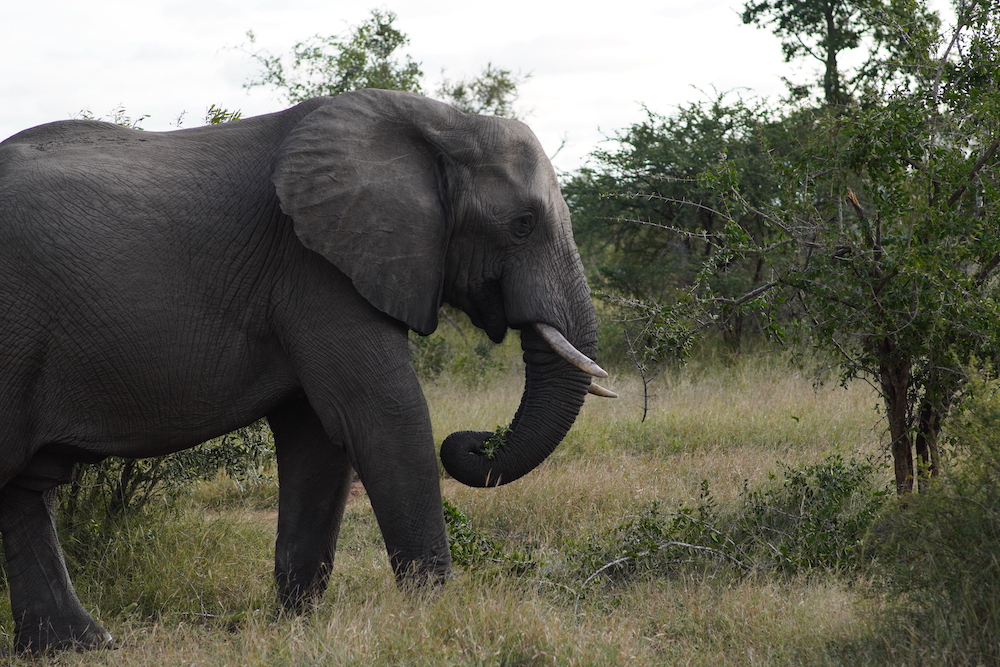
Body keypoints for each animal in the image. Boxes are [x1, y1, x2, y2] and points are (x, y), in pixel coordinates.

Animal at [0, 88, 612, 652]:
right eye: (523, 224)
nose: (477, 440)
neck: (442, 123)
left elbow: (318, 439)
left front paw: (293, 627)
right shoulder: (317, 269)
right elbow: (383, 413)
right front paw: (437, 619)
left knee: (23, 490)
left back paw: (79, 646)